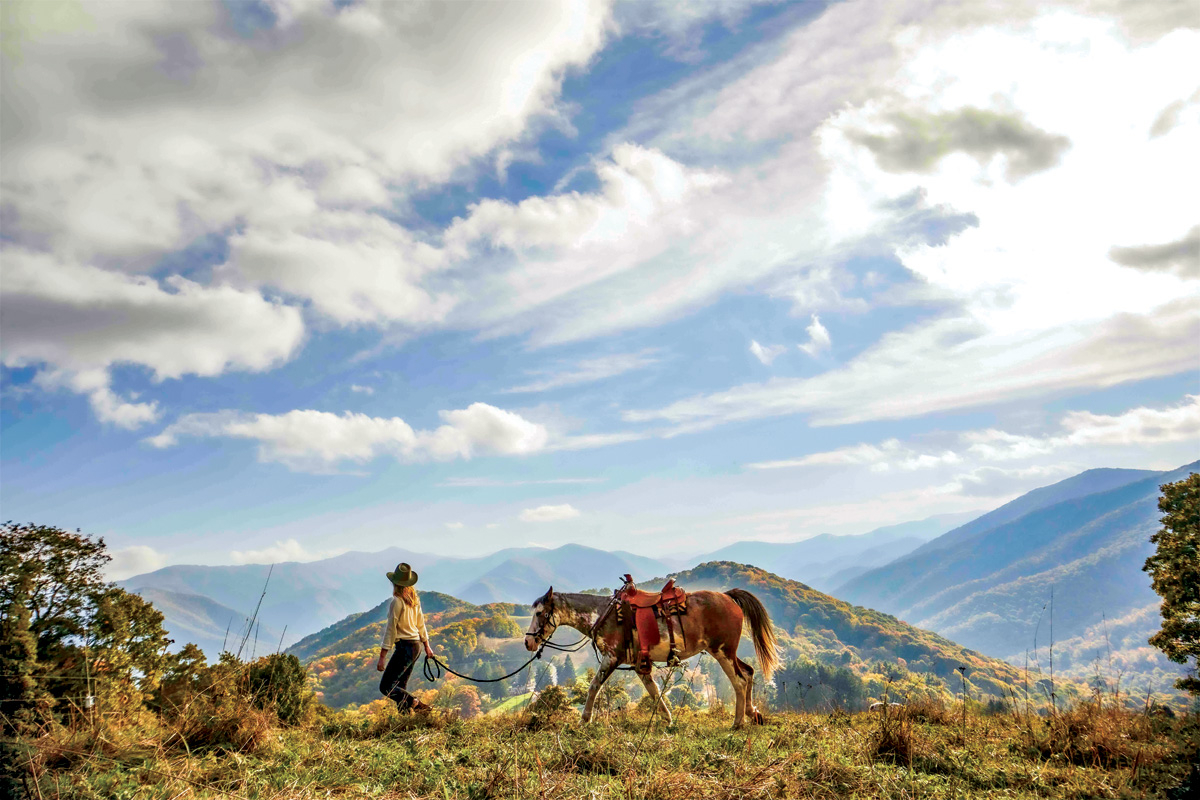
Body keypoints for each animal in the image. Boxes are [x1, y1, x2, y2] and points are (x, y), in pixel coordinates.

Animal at [525, 585, 777, 729]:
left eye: (540, 613)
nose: (528, 642)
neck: (604, 615)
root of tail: (727, 597)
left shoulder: (612, 658)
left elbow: (594, 686)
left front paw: (584, 719)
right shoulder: (640, 665)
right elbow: (654, 691)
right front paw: (668, 719)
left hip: (722, 651)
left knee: (740, 681)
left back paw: (738, 722)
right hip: (728, 652)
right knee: (748, 672)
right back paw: (752, 714)